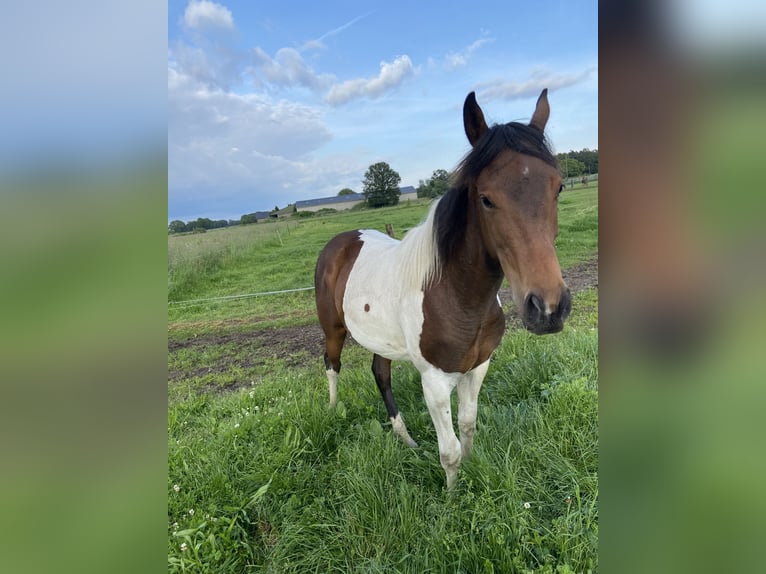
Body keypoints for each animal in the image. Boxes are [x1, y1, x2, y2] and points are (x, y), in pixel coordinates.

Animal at [316, 89, 572, 490]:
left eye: (558, 186)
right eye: (485, 198)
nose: (547, 308)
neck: (456, 296)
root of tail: (339, 242)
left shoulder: (478, 368)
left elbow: (467, 426)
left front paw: (471, 470)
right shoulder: (434, 382)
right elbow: (448, 450)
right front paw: (453, 495)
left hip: (381, 340)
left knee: (380, 373)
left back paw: (405, 437)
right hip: (333, 329)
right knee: (332, 365)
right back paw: (331, 411)